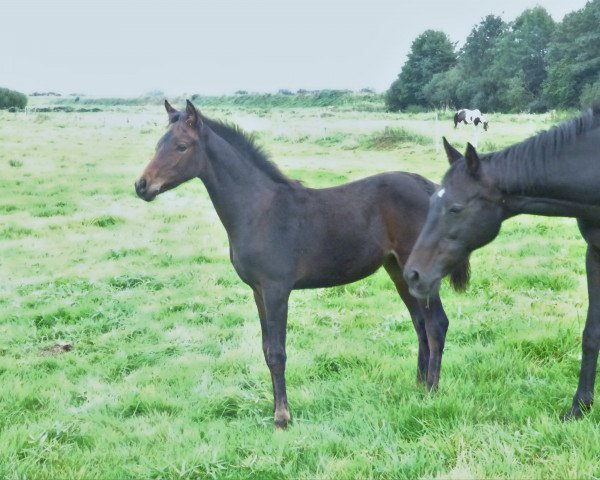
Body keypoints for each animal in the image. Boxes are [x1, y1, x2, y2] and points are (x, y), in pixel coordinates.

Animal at [136, 100, 468, 428]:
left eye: (181, 146)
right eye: (158, 144)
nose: (142, 186)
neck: (258, 210)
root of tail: (430, 189)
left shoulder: (276, 290)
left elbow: (277, 352)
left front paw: (282, 417)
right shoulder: (258, 291)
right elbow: (266, 348)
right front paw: (276, 410)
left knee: (436, 325)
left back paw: (431, 392)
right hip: (399, 271)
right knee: (420, 324)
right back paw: (418, 385)